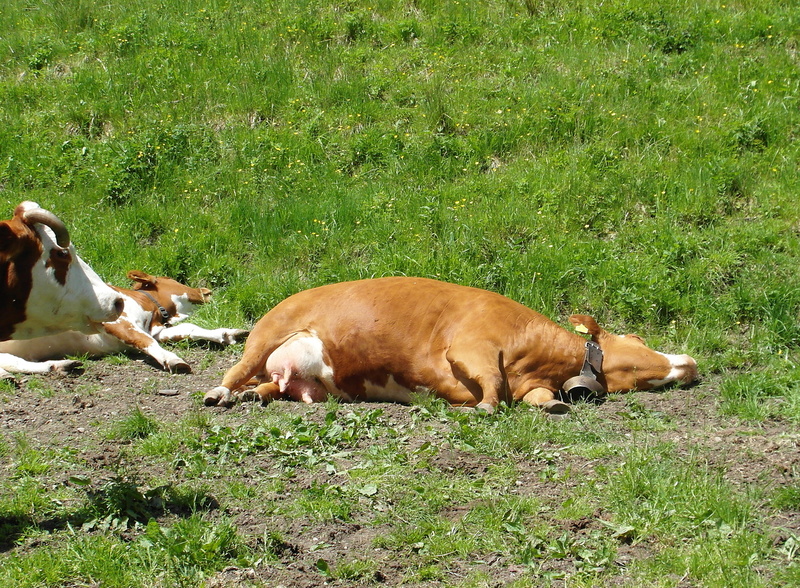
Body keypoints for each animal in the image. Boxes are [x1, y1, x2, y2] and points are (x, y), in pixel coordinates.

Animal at [0, 270, 249, 374]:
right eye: (173, 279)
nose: (207, 290)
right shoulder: (118, 322)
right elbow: (146, 342)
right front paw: (173, 359)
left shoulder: (156, 329)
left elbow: (188, 328)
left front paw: (227, 333)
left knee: (14, 363)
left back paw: (60, 366)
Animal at [203, 276, 698, 413]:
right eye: (636, 341)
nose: (690, 362)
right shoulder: (470, 347)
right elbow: (491, 384)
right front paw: (483, 409)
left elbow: (536, 398)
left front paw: (554, 405)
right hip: (268, 334)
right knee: (236, 371)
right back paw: (219, 394)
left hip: (304, 381)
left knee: (270, 386)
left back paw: (254, 397)